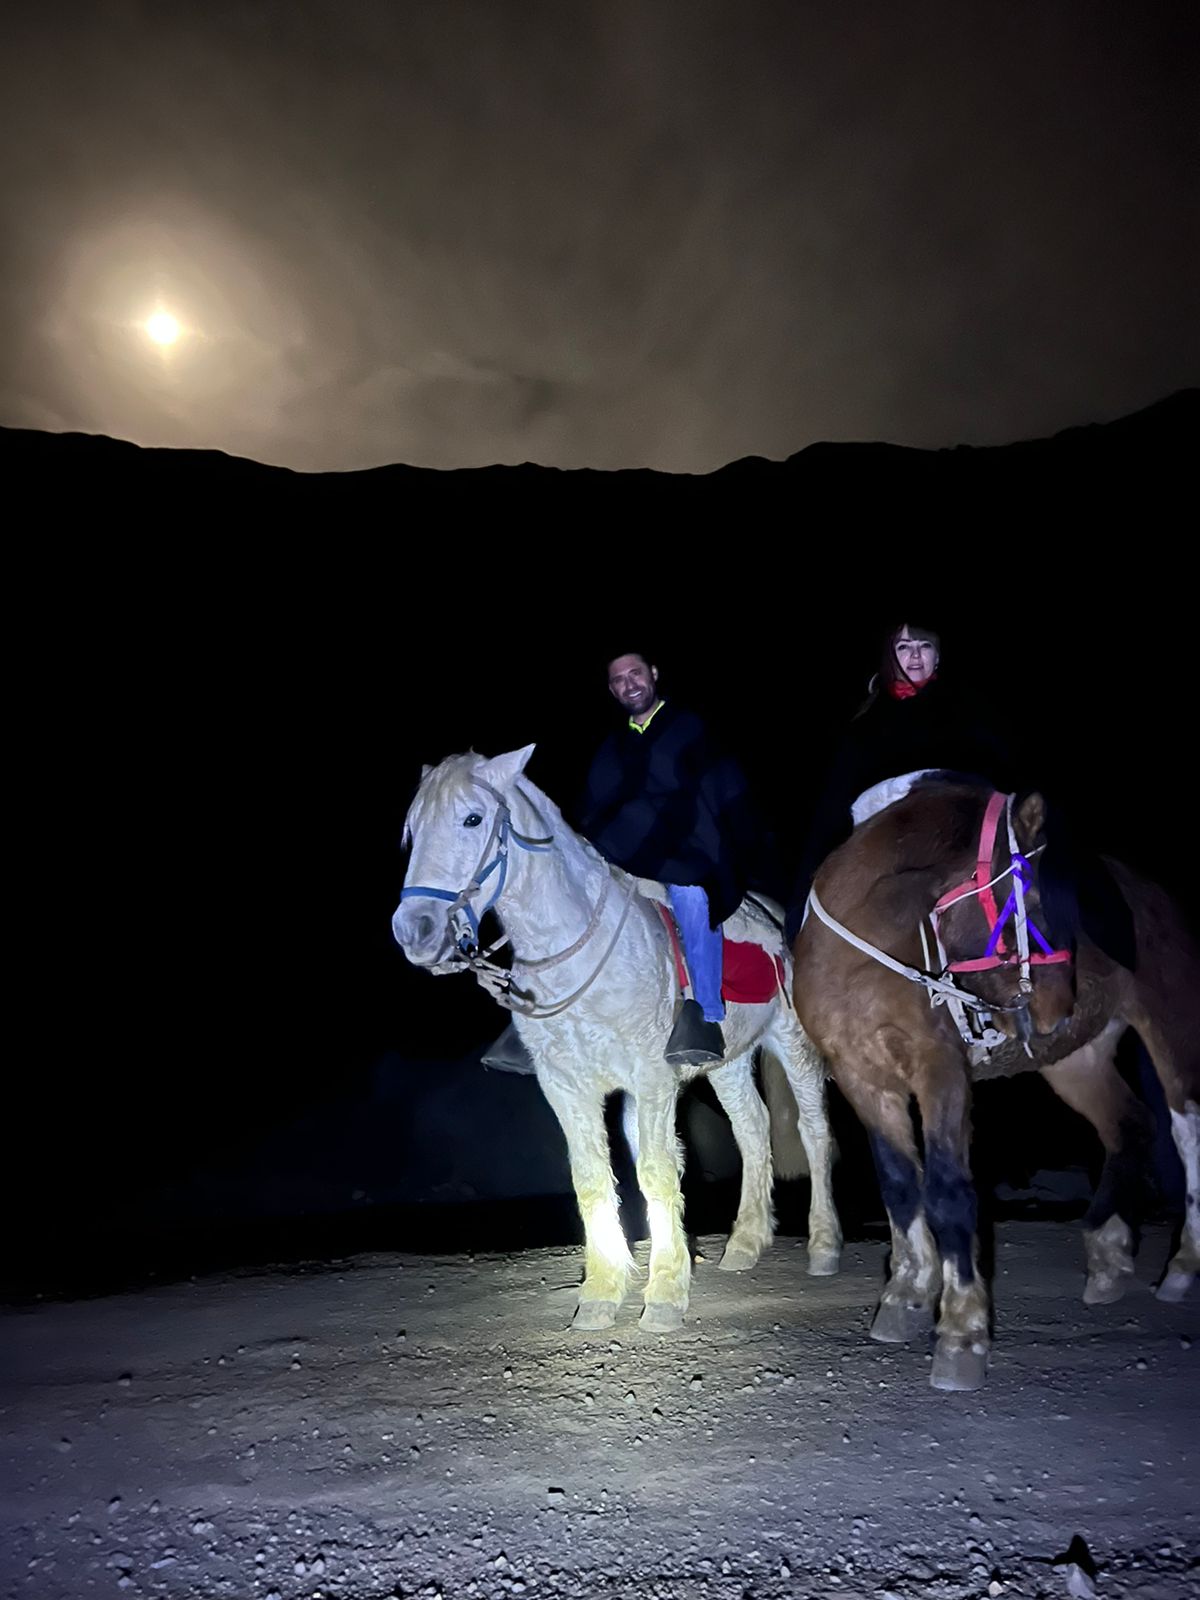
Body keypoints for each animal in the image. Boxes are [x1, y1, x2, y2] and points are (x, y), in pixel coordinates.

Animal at [395, 748, 844, 1337]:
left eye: (472, 819)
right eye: (412, 832)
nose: (414, 931)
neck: (576, 954)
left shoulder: (651, 1080)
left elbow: (656, 1174)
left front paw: (666, 1294)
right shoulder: (566, 1087)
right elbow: (592, 1180)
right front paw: (603, 1292)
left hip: (793, 1046)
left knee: (814, 1132)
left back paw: (823, 1245)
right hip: (728, 1063)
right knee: (752, 1129)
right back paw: (745, 1243)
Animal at [793, 780, 1196, 1395]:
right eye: (1034, 900)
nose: (1057, 1008)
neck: (868, 951)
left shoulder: (940, 1069)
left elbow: (948, 1190)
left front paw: (962, 1331)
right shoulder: (863, 1077)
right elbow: (899, 1185)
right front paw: (907, 1294)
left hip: (1170, 1027)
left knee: (1187, 1132)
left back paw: (1182, 1266)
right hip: (1075, 1062)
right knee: (1129, 1124)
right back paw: (1108, 1255)